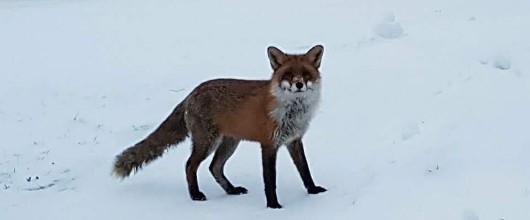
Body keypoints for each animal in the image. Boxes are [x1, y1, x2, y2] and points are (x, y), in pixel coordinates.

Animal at [111, 44, 324, 208]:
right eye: (288, 75)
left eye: (306, 74)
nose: (299, 85)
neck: (292, 112)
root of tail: (192, 93)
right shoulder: (269, 144)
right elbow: (270, 180)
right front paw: (273, 205)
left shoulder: (294, 140)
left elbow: (305, 170)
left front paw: (313, 191)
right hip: (208, 142)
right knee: (190, 165)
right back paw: (195, 195)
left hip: (229, 142)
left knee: (214, 167)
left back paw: (231, 190)